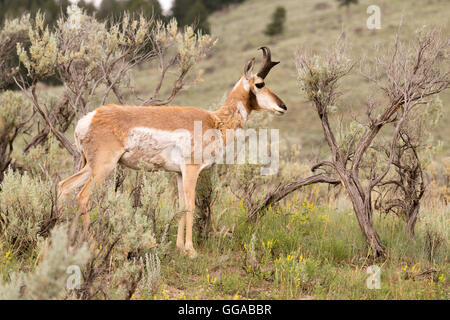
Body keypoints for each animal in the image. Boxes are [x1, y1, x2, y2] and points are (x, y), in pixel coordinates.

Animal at [58, 47, 286, 258]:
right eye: (260, 84)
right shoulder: (192, 169)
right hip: (103, 167)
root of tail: (88, 119)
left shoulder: (178, 173)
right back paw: (91, 246)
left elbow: (181, 205)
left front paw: (180, 248)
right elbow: (191, 206)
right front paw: (191, 250)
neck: (215, 121)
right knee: (83, 196)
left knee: (63, 186)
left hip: (90, 167)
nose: (282, 106)